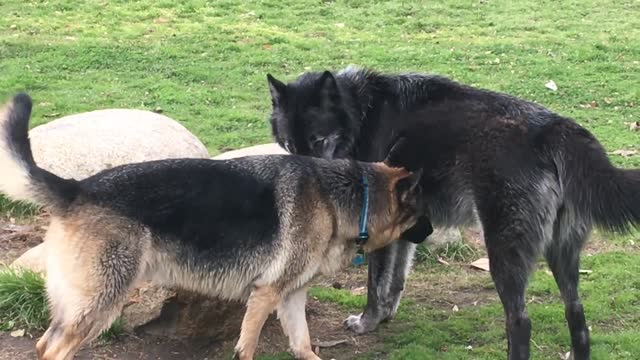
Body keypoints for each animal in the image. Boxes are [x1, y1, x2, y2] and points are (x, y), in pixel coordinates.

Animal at [0, 94, 432, 360]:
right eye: (420, 213)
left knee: (44, 345)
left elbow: (303, 345)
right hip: (102, 299)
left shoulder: (291, 297)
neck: (346, 196)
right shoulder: (264, 295)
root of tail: (76, 188)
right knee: (54, 349)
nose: (430, 231)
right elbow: (248, 347)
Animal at [264, 66, 640, 360]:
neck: (361, 112)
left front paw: (367, 322)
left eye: (317, 140)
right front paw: (385, 316)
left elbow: (375, 284)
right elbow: (396, 281)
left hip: (504, 255)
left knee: (520, 321)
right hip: (562, 256)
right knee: (576, 314)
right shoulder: (405, 231)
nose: (308, 177)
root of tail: (553, 128)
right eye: (291, 145)